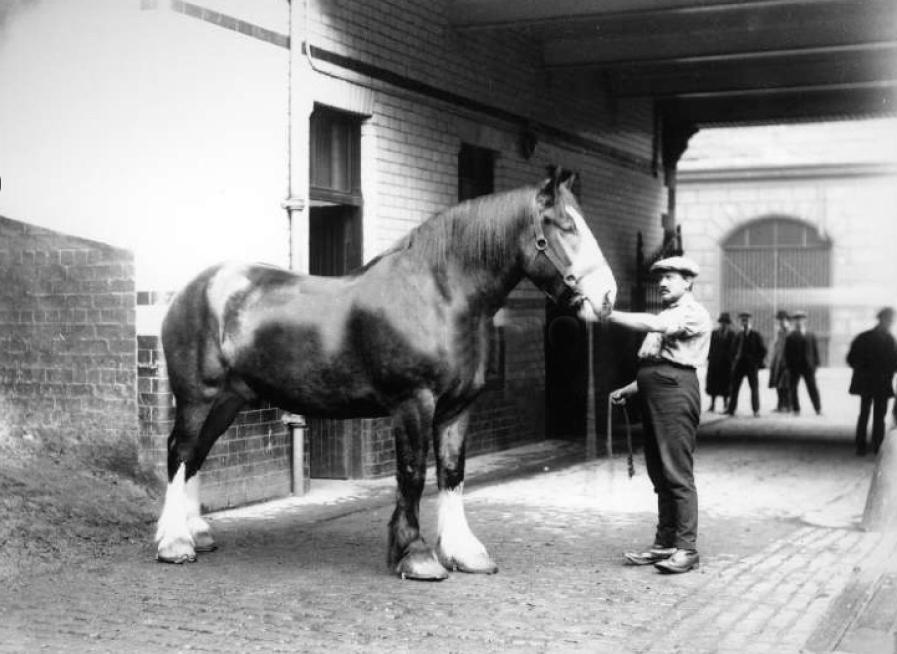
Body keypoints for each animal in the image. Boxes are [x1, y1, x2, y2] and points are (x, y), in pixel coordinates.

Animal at [156, 167, 616, 580]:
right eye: (566, 227)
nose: (607, 297)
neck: (437, 296)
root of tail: (193, 289)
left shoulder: (458, 407)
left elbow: (452, 473)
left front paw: (464, 553)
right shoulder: (414, 403)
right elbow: (412, 474)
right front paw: (415, 555)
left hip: (229, 400)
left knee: (196, 455)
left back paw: (197, 534)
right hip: (198, 396)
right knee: (180, 451)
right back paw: (174, 543)